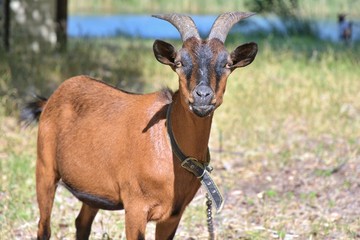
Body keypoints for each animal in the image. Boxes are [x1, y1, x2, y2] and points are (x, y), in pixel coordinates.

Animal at [22, 12, 258, 240]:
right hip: (45, 169)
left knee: (82, 224)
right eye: (179, 63)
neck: (168, 141)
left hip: (92, 192)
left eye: (227, 64)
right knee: (44, 227)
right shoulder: (135, 207)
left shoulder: (173, 215)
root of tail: (51, 99)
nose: (202, 96)